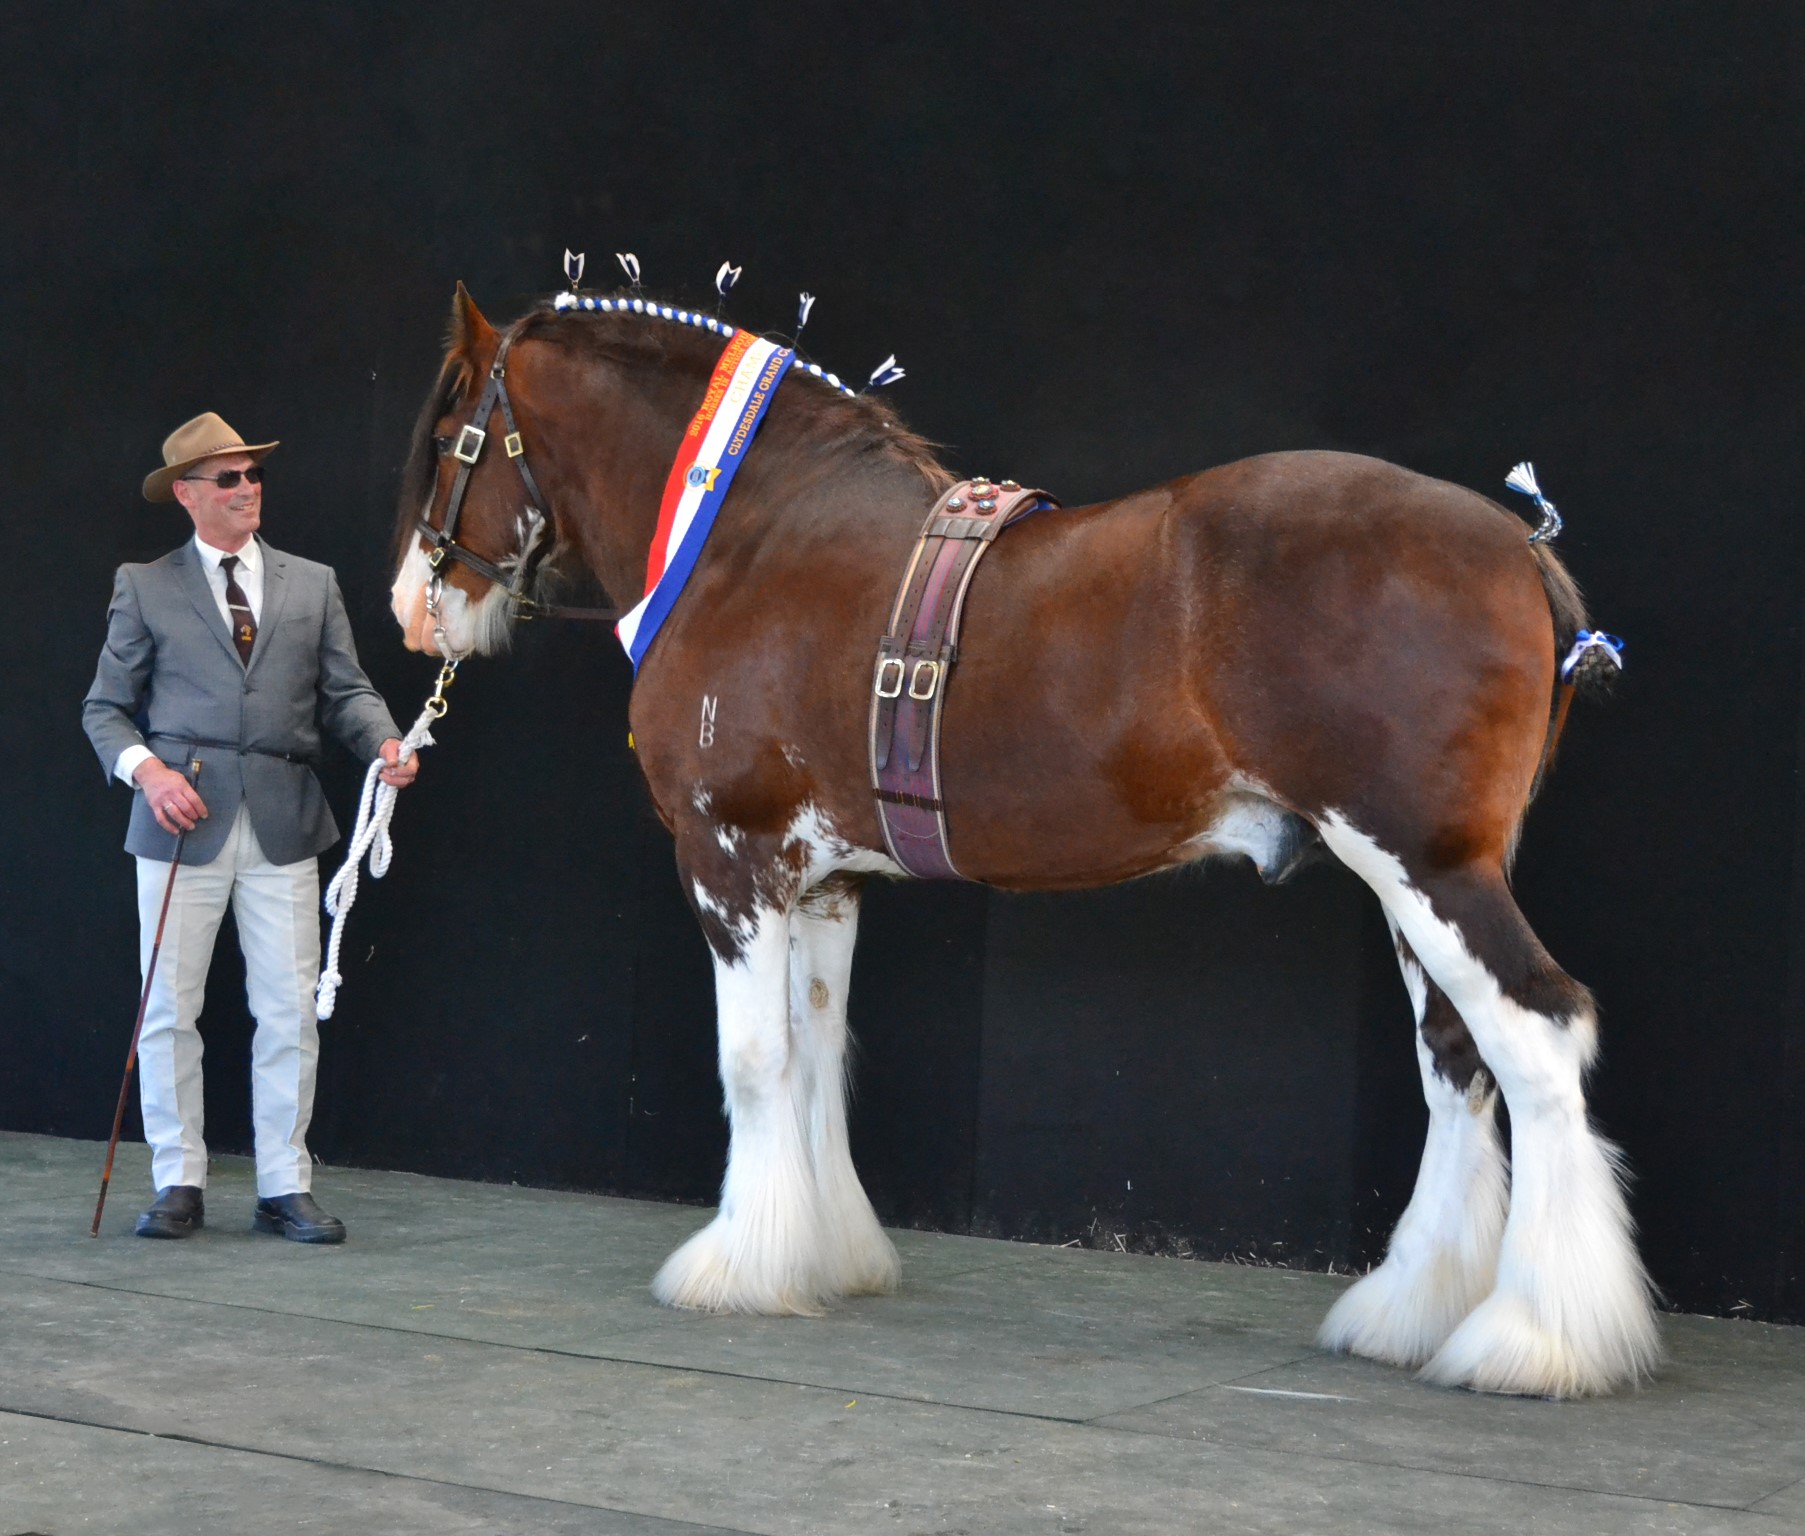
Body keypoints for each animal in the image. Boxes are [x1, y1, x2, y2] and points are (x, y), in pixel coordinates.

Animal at [387, 282, 1659, 1398]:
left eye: (451, 433)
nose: (411, 609)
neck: (747, 542)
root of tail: (1514, 544)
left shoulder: (728, 860)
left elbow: (752, 1062)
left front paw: (736, 1267)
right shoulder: (823, 881)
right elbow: (814, 1056)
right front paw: (825, 1254)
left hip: (1428, 868)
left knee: (1535, 1036)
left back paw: (1534, 1340)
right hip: (1413, 882)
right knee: (1456, 1059)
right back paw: (1410, 1312)